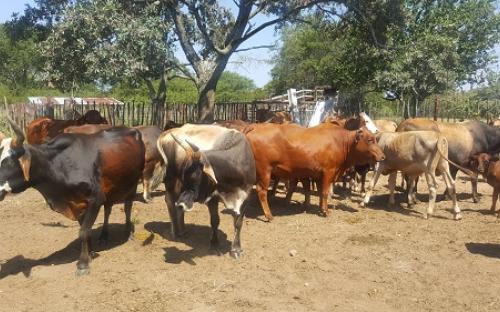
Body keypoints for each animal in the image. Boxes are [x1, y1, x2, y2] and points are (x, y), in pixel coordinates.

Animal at [0, 118, 145, 274]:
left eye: (9, 162)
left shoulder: (95, 199)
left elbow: (84, 231)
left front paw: (83, 263)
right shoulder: (78, 203)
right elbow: (85, 230)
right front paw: (90, 253)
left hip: (133, 182)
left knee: (128, 206)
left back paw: (128, 233)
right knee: (108, 208)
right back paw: (104, 236)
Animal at [156, 124, 256, 258]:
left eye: (196, 177)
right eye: (185, 177)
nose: (181, 203)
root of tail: (169, 131)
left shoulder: (246, 197)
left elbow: (238, 223)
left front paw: (236, 249)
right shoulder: (212, 198)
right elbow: (215, 221)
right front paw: (214, 244)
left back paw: (182, 230)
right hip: (172, 181)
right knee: (170, 201)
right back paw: (176, 232)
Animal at [245, 121, 382, 219]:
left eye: (375, 139)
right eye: (369, 140)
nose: (383, 156)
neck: (340, 141)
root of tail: (255, 126)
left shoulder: (317, 175)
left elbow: (318, 191)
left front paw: (320, 208)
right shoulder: (328, 172)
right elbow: (325, 192)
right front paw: (326, 211)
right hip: (264, 171)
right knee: (261, 191)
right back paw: (269, 215)